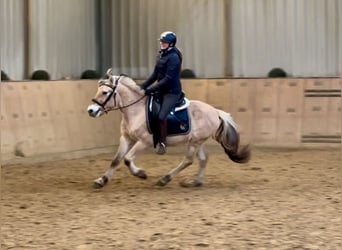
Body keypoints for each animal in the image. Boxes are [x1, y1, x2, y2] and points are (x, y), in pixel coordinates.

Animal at [87, 68, 250, 188]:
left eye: (105, 92)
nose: (91, 110)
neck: (135, 110)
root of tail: (215, 112)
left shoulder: (144, 141)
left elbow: (127, 159)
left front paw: (141, 173)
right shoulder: (126, 138)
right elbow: (116, 160)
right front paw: (101, 180)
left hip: (195, 142)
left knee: (188, 160)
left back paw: (164, 179)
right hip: (197, 141)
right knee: (203, 159)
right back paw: (195, 182)